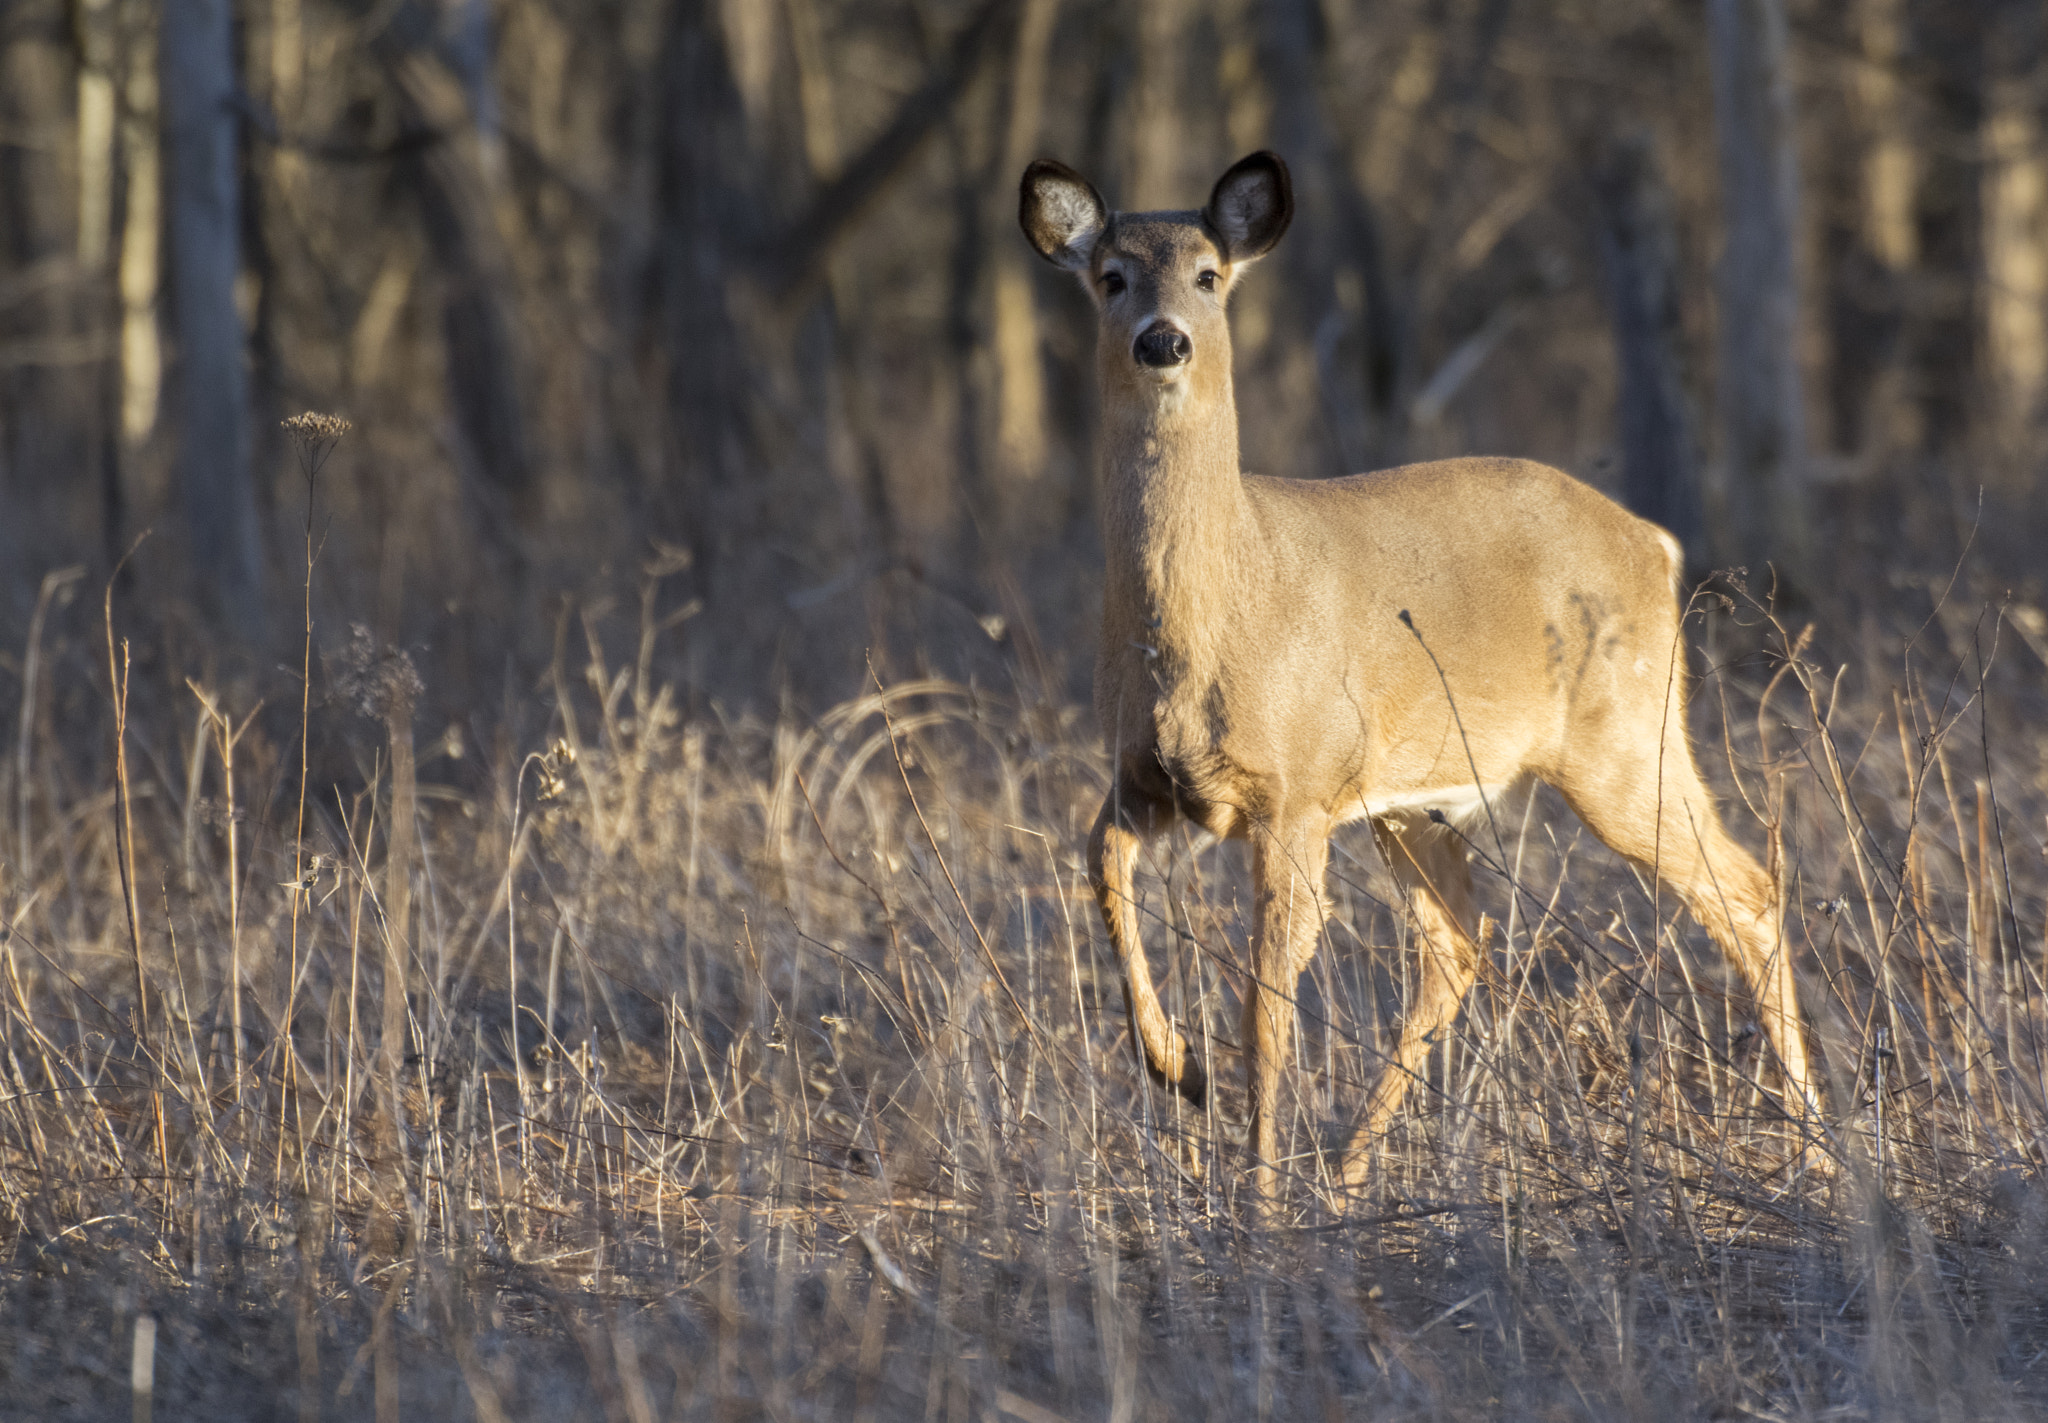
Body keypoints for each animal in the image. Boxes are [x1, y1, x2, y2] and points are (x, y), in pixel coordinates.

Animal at [1024, 153, 1826, 1203]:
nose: (1164, 340)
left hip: (1624, 735)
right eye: (1111, 276)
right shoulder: (1143, 778)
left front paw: (1259, 1194)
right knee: (1458, 942)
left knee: (1746, 888)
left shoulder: (1298, 790)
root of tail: (1654, 543)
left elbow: (1266, 1008)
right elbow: (1100, 871)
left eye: (1208, 274)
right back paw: (1349, 1168)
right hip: (1421, 799)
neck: (1222, 606)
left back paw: (1819, 1149)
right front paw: (1179, 1071)